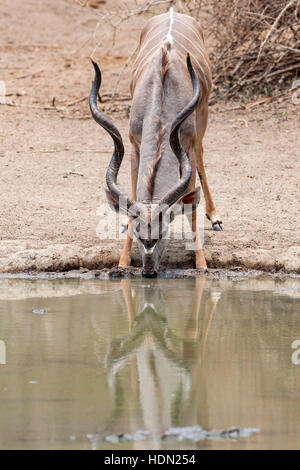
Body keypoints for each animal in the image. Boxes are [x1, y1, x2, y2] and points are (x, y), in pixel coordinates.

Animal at [89, 7, 223, 278]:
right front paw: (123, 261)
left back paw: (215, 217)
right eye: (140, 234)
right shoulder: (134, 145)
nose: (149, 271)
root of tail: (173, 12)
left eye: (162, 233)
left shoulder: (187, 147)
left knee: (202, 156)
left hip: (203, 115)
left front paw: (201, 263)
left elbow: (191, 206)